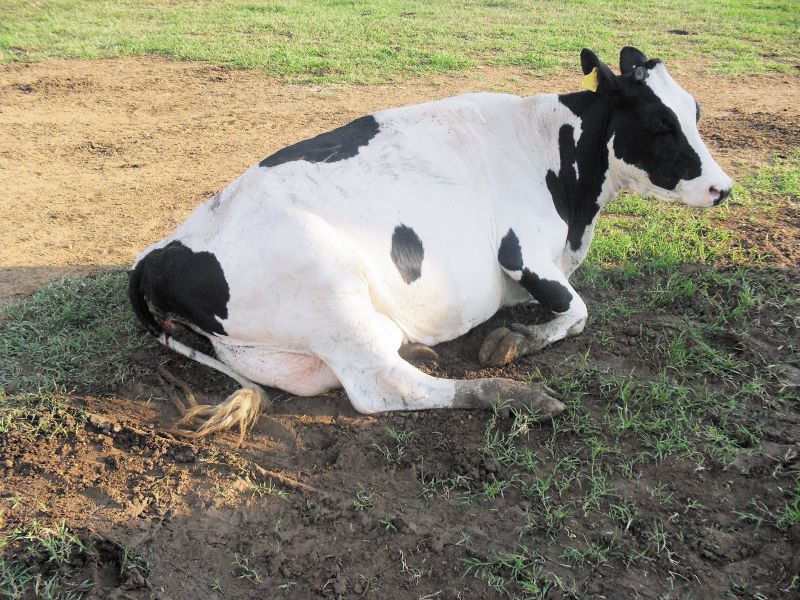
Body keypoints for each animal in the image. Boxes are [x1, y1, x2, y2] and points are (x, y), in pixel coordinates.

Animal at [129, 47, 732, 441]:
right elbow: (580, 312)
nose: (722, 187)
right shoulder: (522, 252)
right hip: (331, 292)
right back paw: (513, 396)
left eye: (695, 112)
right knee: (387, 388)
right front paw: (514, 342)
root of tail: (152, 260)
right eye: (659, 123)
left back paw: (419, 348)